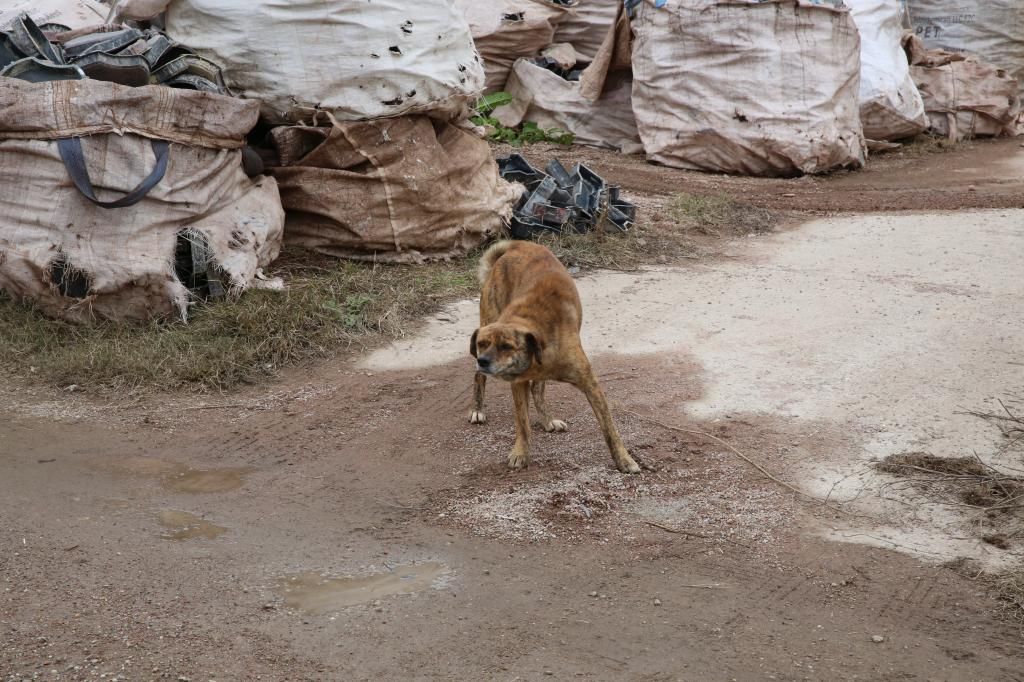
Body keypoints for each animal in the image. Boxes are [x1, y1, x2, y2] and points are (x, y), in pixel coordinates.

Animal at [466, 240, 638, 473]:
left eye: (506, 347)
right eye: (482, 344)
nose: (482, 360)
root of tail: (517, 245)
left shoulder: (590, 384)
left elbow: (610, 428)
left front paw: (624, 459)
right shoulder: (517, 384)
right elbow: (522, 423)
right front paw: (520, 453)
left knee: (538, 390)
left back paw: (547, 420)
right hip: (488, 316)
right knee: (479, 377)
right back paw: (477, 409)